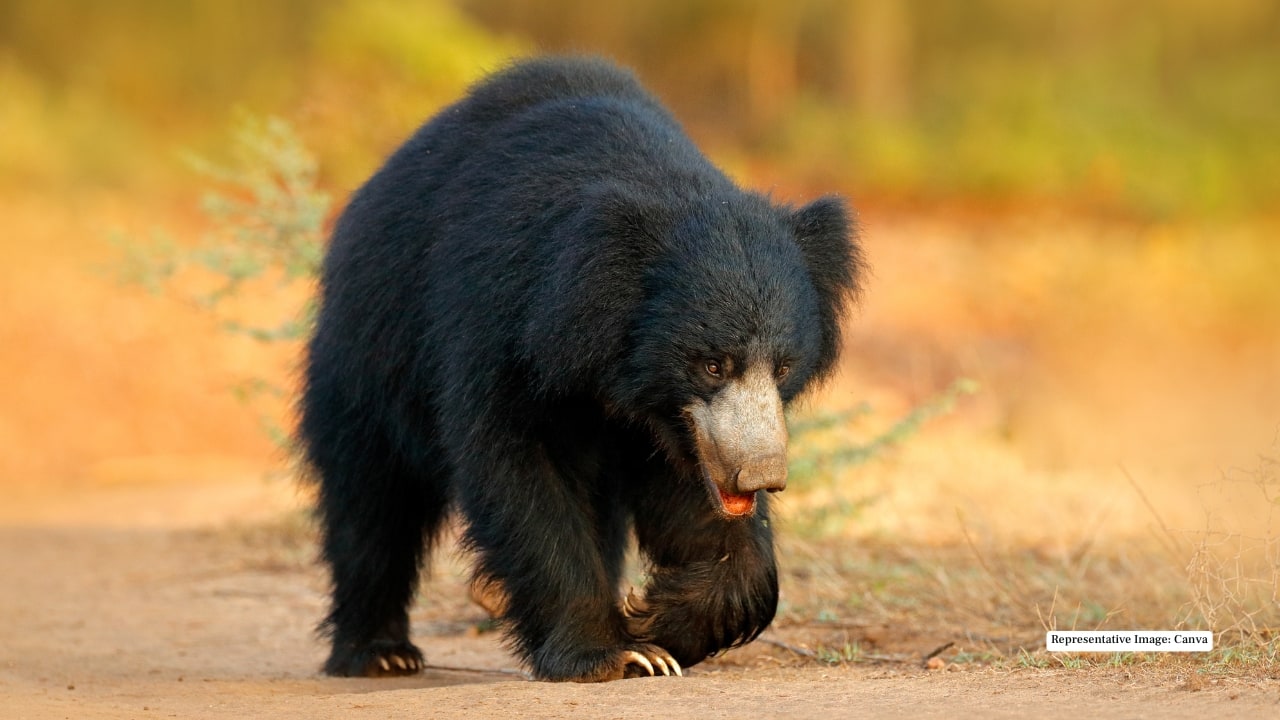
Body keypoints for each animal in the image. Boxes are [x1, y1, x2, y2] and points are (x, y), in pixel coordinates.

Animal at [299, 55, 863, 682]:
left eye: (783, 367)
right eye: (713, 364)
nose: (760, 475)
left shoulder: (676, 424)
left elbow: (694, 498)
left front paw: (656, 619)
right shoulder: (501, 325)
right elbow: (520, 472)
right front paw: (612, 652)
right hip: (366, 362)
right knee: (372, 505)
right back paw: (380, 652)